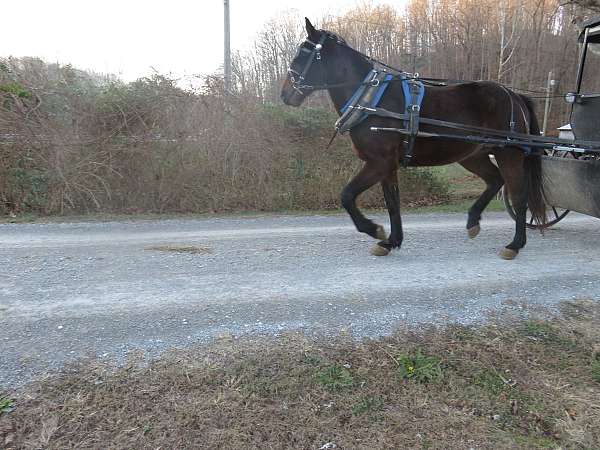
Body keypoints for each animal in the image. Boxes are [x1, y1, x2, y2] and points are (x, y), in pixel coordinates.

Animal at [278, 18, 548, 260]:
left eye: (303, 54)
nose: (285, 94)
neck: (371, 100)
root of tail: (514, 95)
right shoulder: (387, 166)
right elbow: (392, 202)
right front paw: (390, 241)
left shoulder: (379, 162)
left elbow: (347, 195)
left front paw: (374, 230)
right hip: (473, 155)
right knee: (494, 180)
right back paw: (473, 221)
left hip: (508, 153)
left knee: (518, 196)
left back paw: (514, 244)